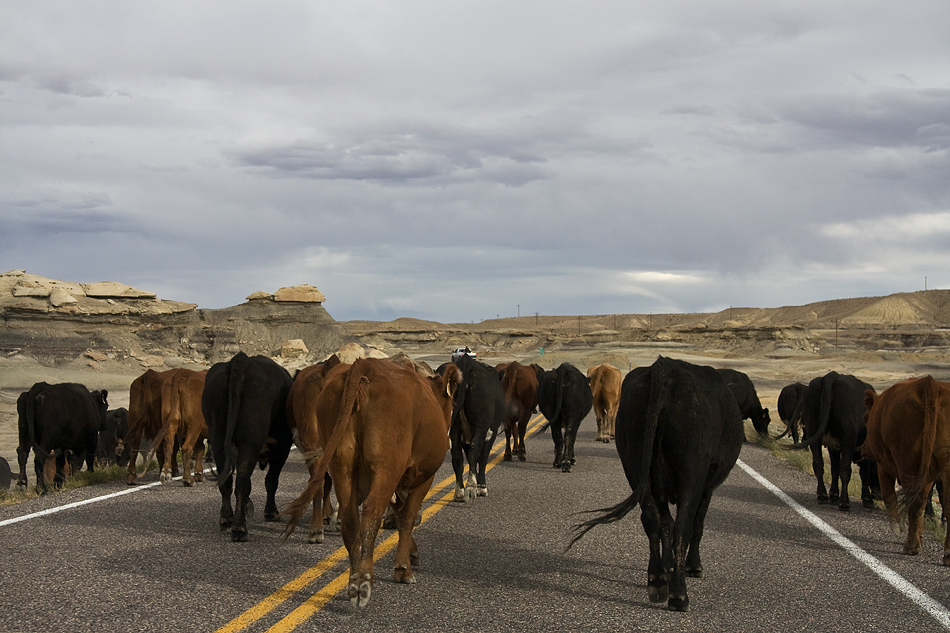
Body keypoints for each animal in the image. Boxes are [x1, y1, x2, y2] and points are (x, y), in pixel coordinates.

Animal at [446, 354, 506, 502]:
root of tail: (467, 361)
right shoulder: (491, 431)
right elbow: (482, 458)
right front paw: (482, 487)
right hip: (481, 426)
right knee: (475, 452)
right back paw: (471, 488)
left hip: (454, 427)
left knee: (457, 456)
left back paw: (460, 492)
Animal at [568, 358, 748, 608]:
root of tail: (664, 368)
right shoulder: (706, 486)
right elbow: (694, 525)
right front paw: (693, 566)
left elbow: (665, 524)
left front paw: (668, 567)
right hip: (690, 473)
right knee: (683, 526)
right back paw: (679, 595)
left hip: (635, 466)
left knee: (652, 519)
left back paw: (657, 580)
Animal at [796, 370, 876, 508]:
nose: (878, 495)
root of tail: (832, 376)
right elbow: (863, 472)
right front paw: (867, 499)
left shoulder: (833, 445)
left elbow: (834, 469)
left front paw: (833, 495)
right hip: (848, 440)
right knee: (845, 470)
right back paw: (844, 502)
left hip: (813, 434)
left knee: (818, 464)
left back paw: (822, 495)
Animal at [864, 376, 950, 564]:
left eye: (865, 418)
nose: (864, 449)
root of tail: (929, 384)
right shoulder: (928, 476)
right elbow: (924, 503)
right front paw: (921, 536)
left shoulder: (883, 466)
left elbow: (890, 498)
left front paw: (899, 529)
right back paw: (947, 555)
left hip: (908, 463)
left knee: (914, 503)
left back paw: (911, 546)